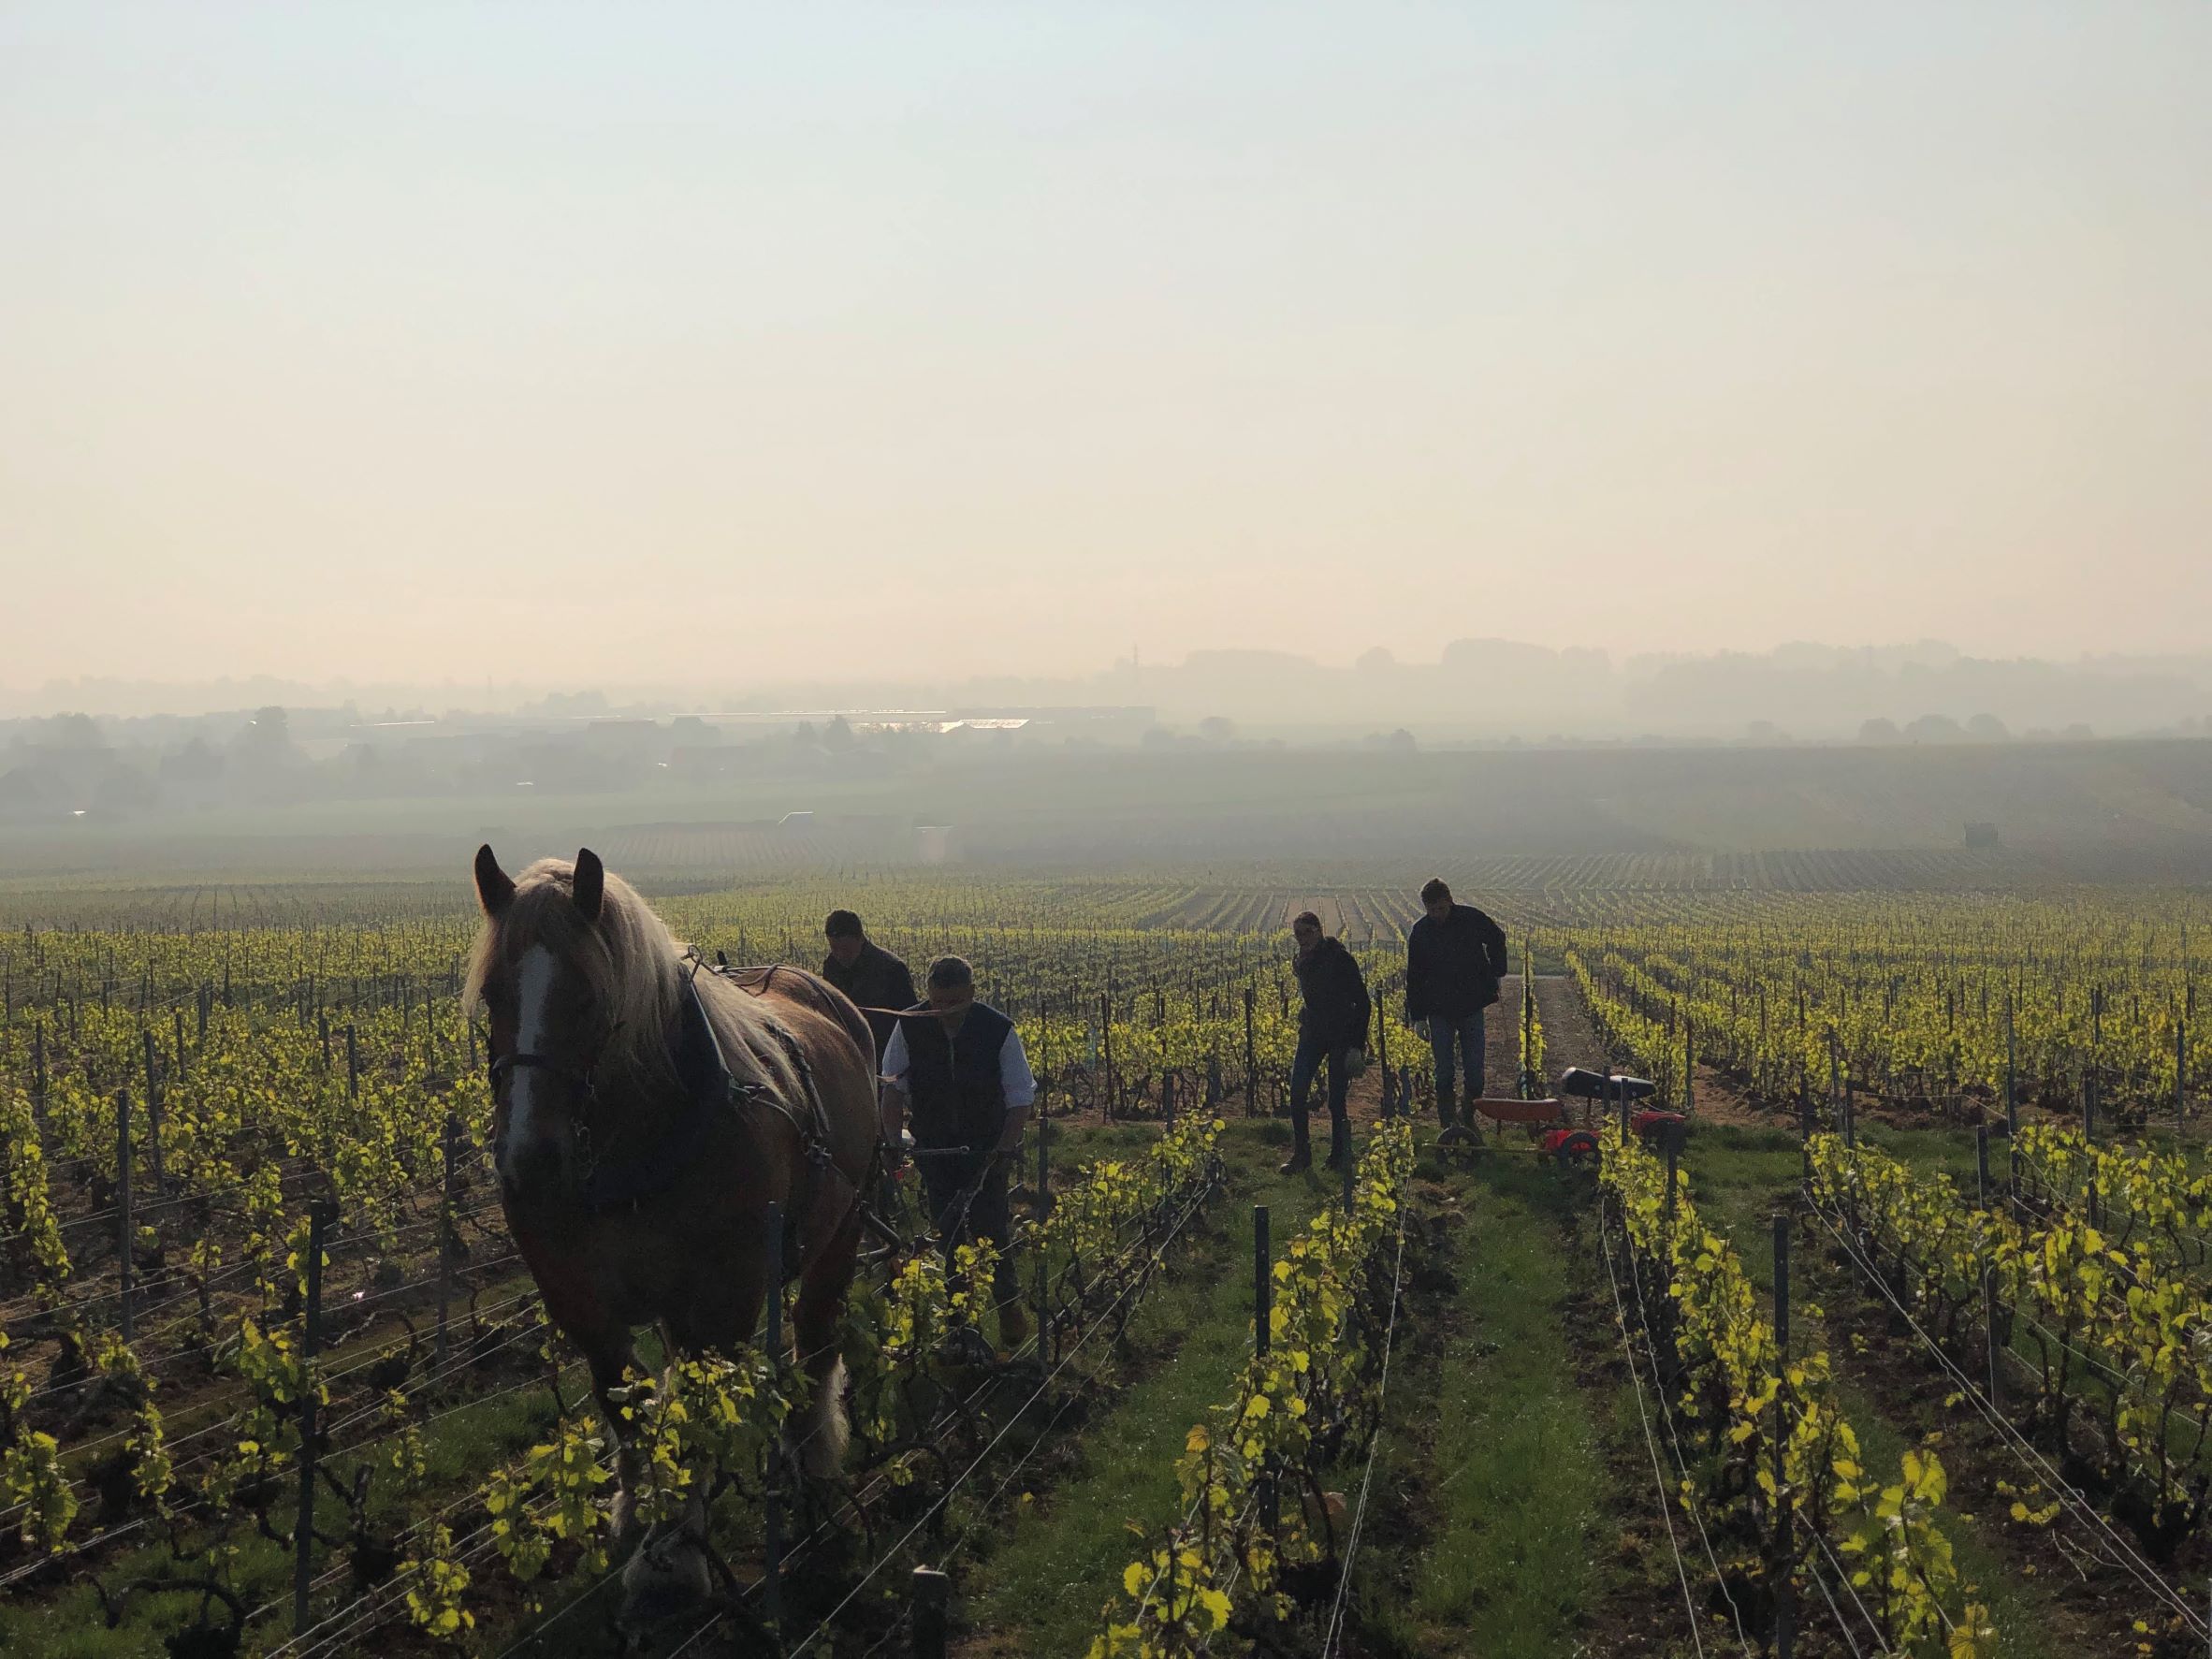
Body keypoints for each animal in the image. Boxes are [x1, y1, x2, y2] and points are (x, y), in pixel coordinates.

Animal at [466, 849, 880, 1565]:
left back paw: (813, 1460)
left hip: (842, 1228)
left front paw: (679, 1550)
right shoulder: (579, 1302)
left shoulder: (723, 1296)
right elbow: (623, 1404)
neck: (630, 1162)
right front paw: (638, 1515)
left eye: (589, 995)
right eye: (494, 995)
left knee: (816, 1338)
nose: (530, 1162)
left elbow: (700, 1407)